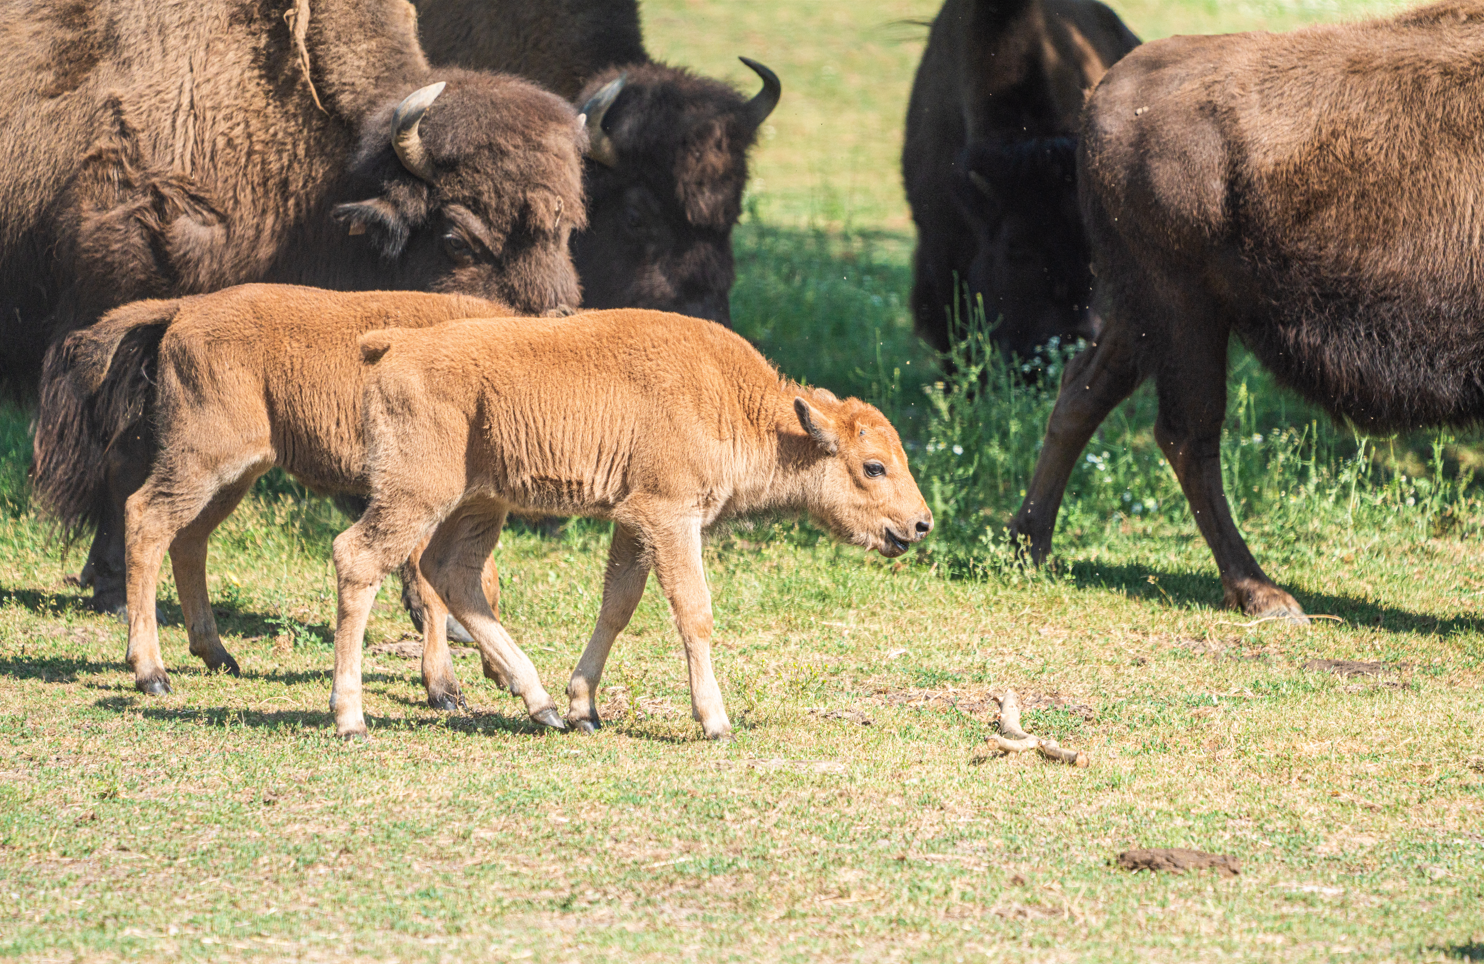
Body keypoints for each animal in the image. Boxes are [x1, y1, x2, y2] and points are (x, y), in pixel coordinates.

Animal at [35, 285, 517, 704]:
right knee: (146, 518)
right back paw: (152, 673)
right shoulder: (420, 497)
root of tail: (186, 308)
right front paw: (445, 690)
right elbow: (435, 586)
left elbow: (478, 579)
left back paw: (218, 655)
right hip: (201, 458)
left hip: (236, 474)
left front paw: (496, 673)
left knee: (189, 539)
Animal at [328, 311, 934, 740]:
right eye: (874, 467)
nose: (921, 524)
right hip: (417, 493)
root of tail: (395, 345)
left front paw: (583, 708)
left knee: (453, 572)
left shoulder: (634, 522)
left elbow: (618, 605)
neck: (740, 406)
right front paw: (716, 721)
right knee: (358, 558)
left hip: (480, 502)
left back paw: (542, 706)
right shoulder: (669, 515)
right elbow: (694, 611)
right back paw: (351, 719)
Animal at [1010, 0, 1484, 621]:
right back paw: (1263, 593)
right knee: (1186, 434)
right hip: (1185, 308)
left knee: (1081, 394)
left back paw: (1029, 548)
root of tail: (1106, 93)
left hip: (1144, 312)